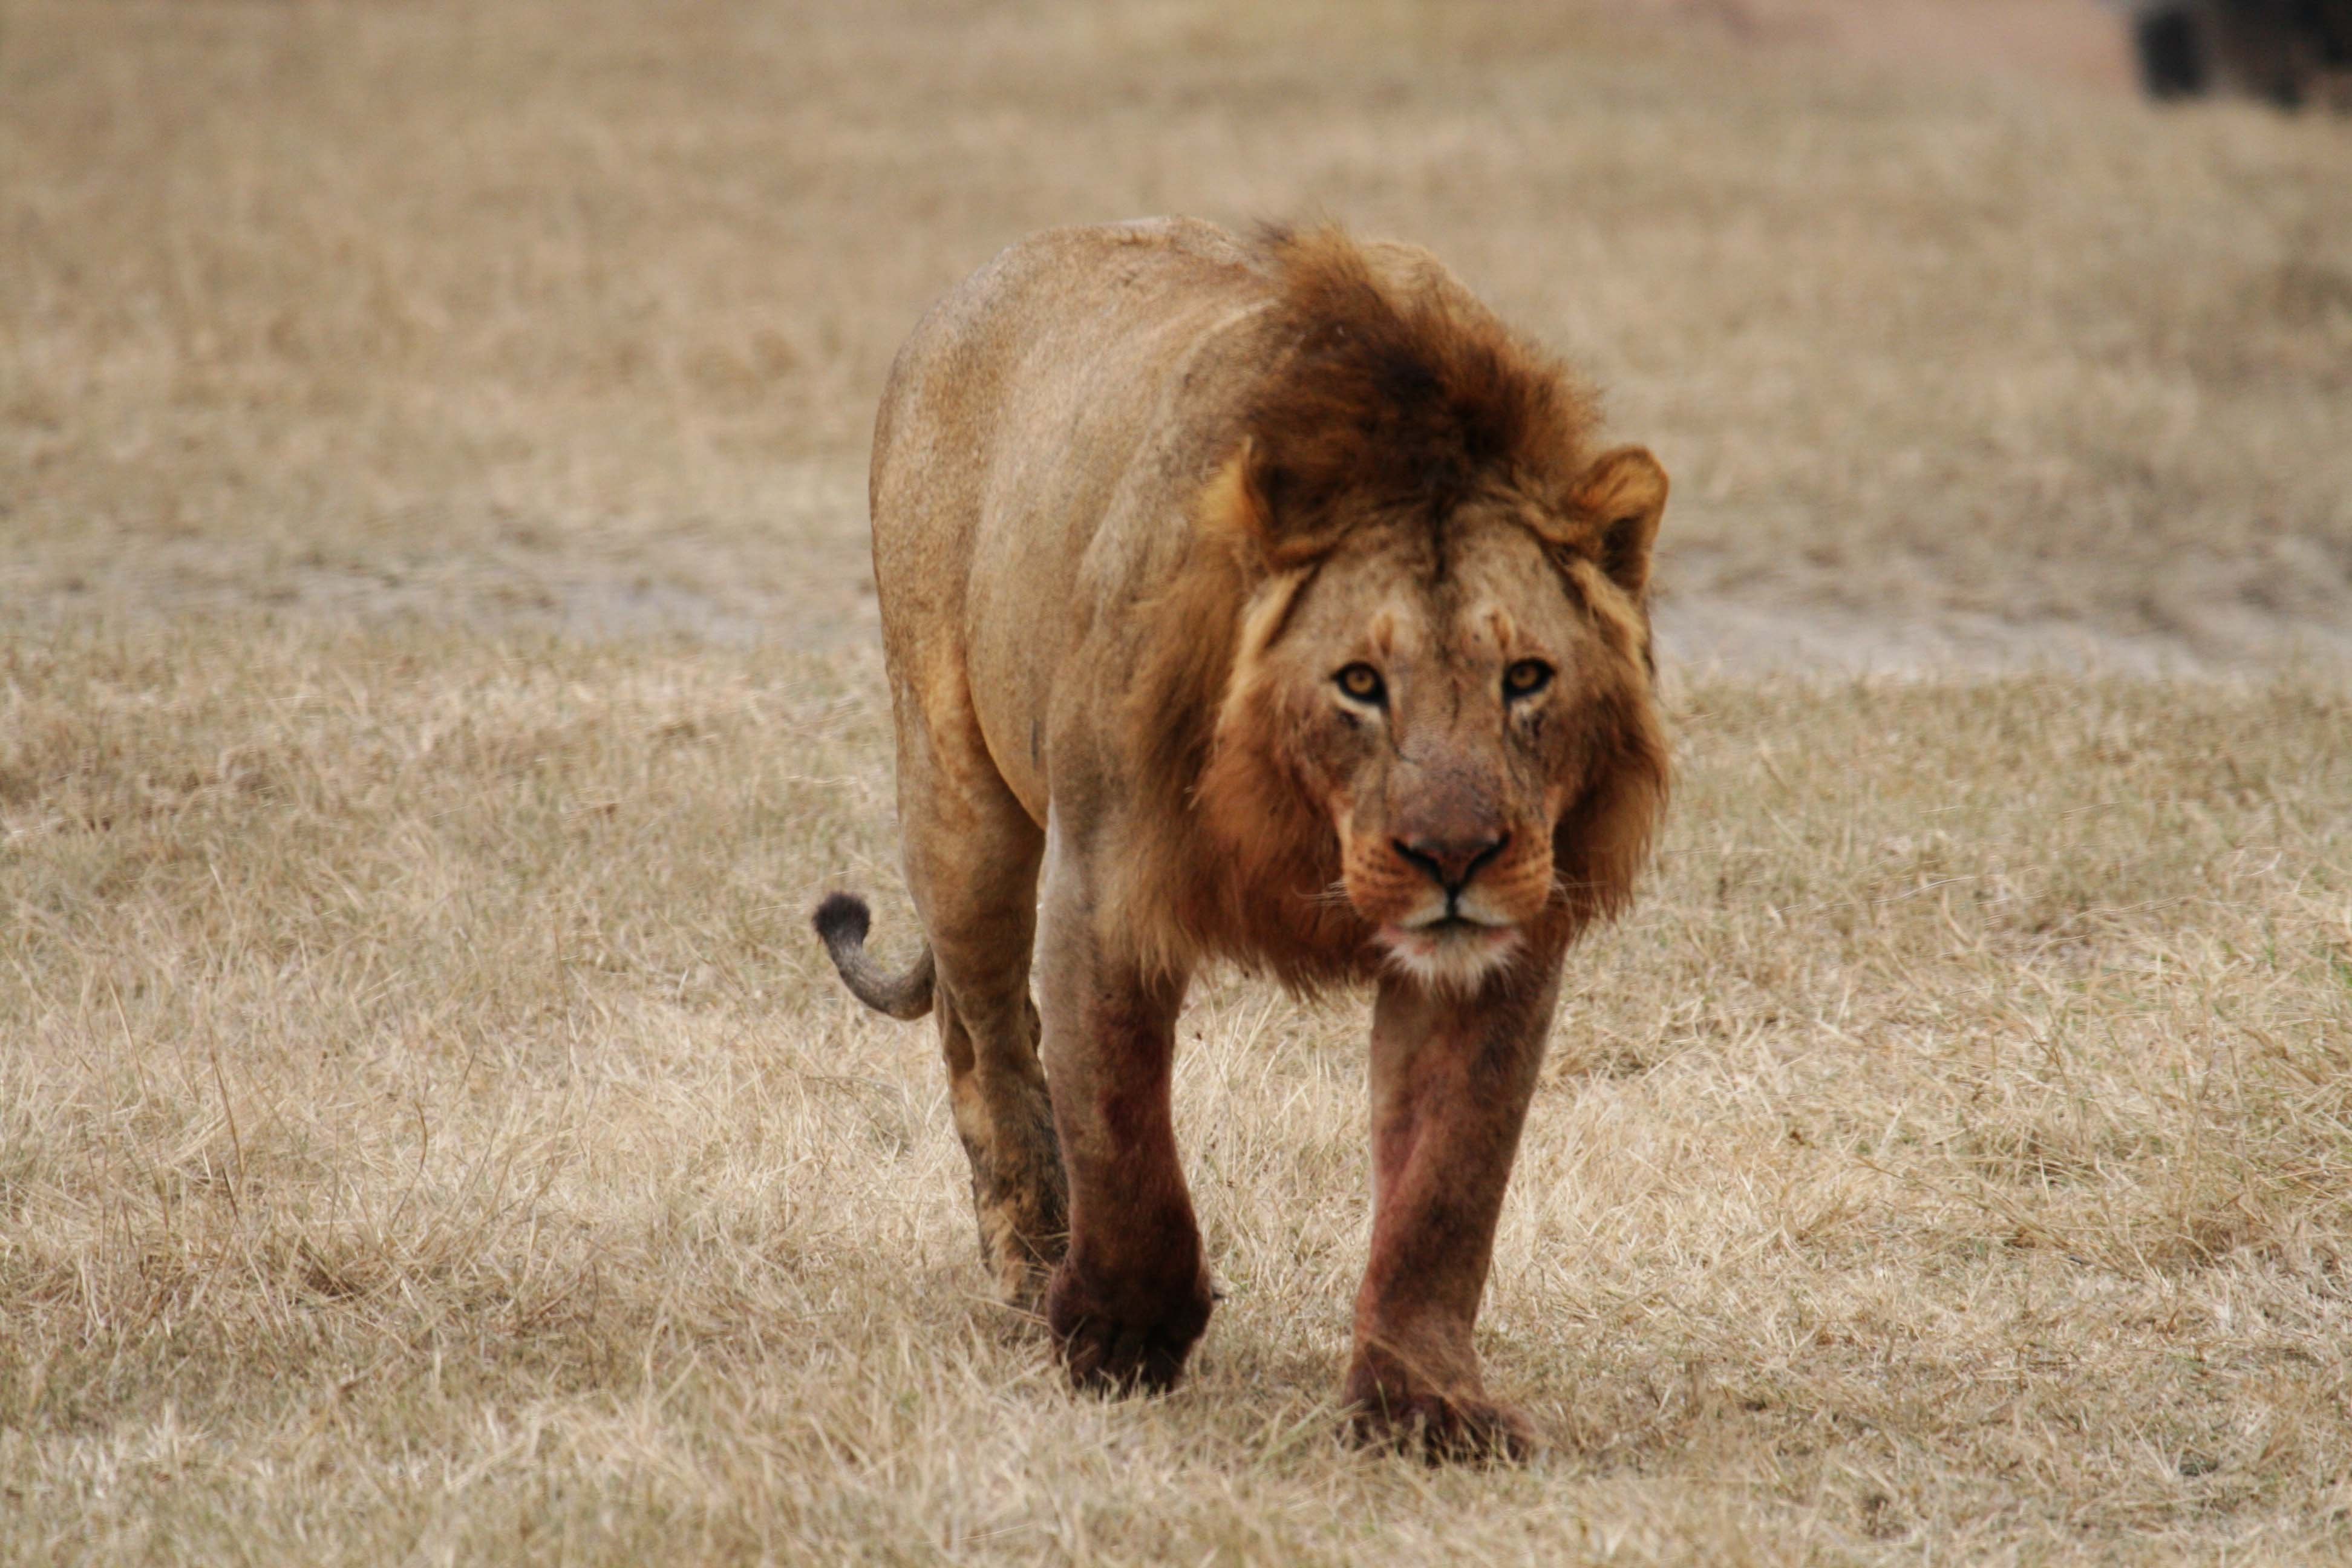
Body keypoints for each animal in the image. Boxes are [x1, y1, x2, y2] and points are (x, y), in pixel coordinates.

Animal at [818, 217, 1665, 1457]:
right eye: (1358, 683)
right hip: (957, 797)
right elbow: (1126, 1140)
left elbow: (1448, 1184)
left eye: (1526, 678)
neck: (1301, 827)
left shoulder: (1498, 954)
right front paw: (1121, 1336)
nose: (1455, 859)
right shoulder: (1103, 885)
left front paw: (1423, 1401)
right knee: (988, 1038)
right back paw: (1030, 1259)